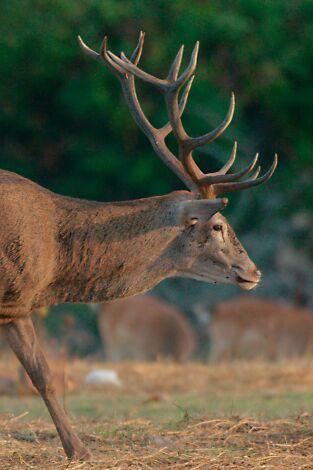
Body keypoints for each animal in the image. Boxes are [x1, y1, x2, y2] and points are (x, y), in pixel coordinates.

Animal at [0, 32, 276, 458]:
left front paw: (76, 449)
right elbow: (38, 374)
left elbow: (40, 375)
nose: (253, 271)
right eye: (218, 225)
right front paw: (78, 449)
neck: (53, 264)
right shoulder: (12, 297)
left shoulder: (15, 305)